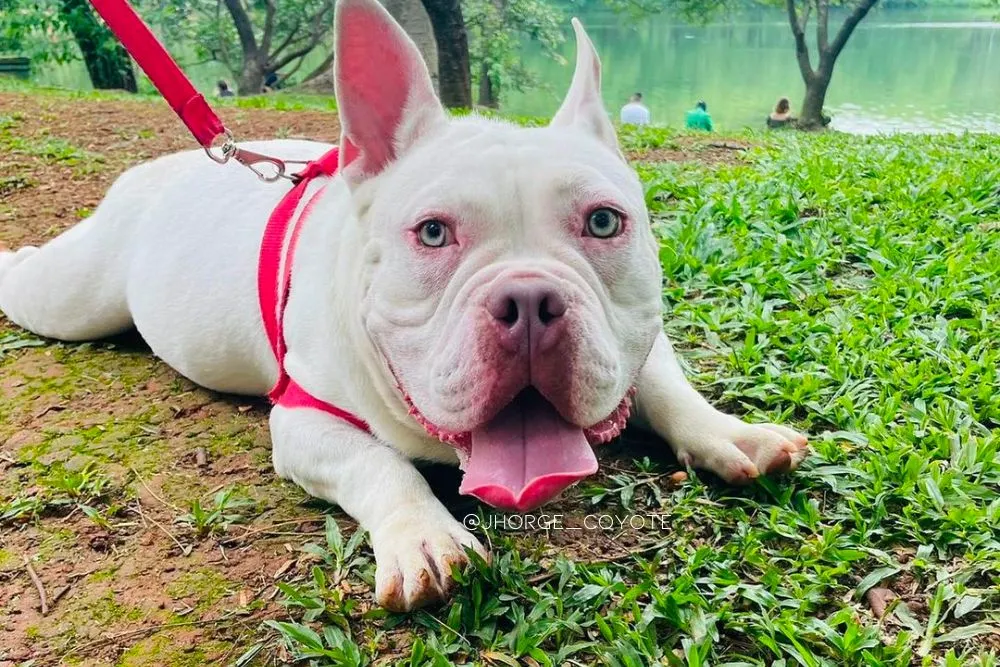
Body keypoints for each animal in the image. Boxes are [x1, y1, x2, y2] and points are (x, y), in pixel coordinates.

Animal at [0, 0, 808, 612]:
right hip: (73, 299)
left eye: (605, 223)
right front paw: (425, 535)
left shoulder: (640, 344)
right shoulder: (304, 422)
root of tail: (165, 166)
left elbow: (665, 386)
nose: (529, 298)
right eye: (432, 233)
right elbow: (379, 464)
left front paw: (730, 433)